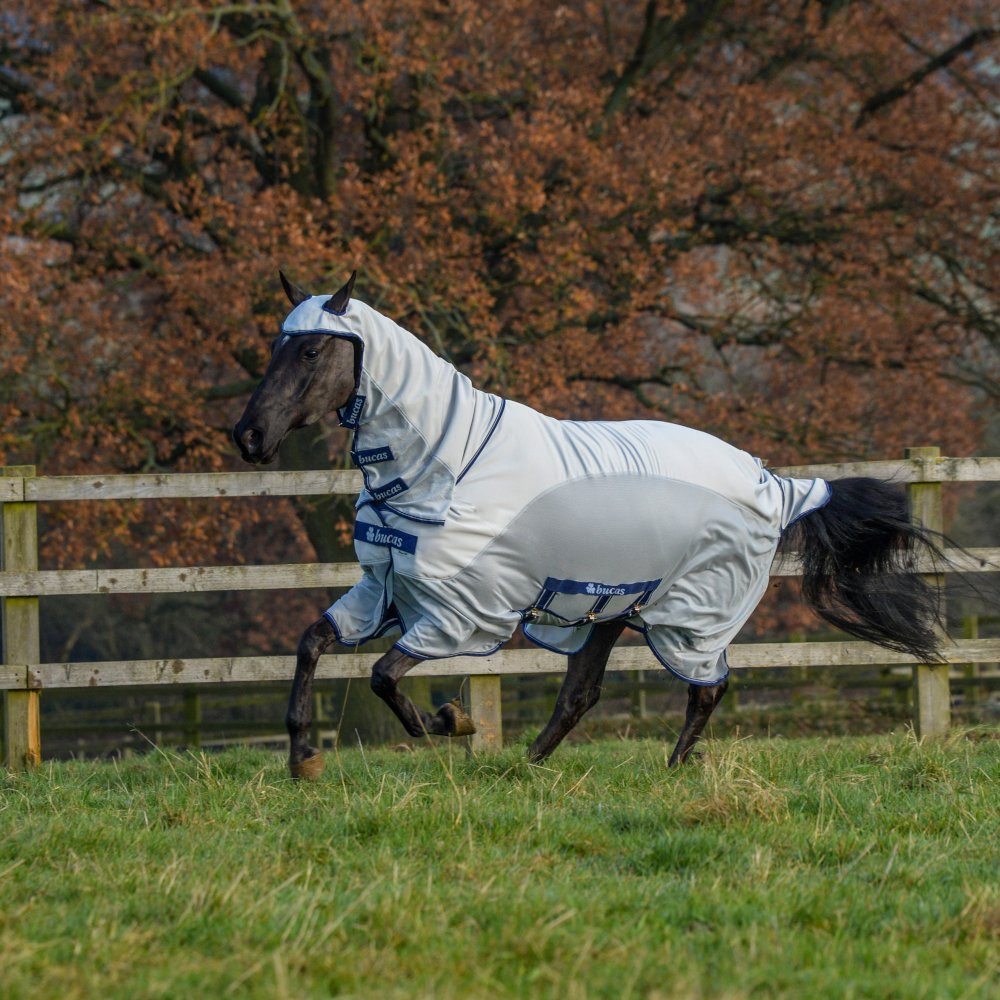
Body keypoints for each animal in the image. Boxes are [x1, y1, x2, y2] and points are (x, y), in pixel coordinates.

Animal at [234, 272, 943, 781]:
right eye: (274, 347)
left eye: (313, 349)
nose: (249, 436)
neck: (449, 464)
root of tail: (776, 483)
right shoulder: (385, 591)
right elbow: (311, 643)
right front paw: (302, 757)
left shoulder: (460, 613)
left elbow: (384, 678)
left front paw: (454, 721)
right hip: (609, 608)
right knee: (583, 694)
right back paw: (529, 766)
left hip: (691, 617)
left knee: (707, 688)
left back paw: (672, 768)